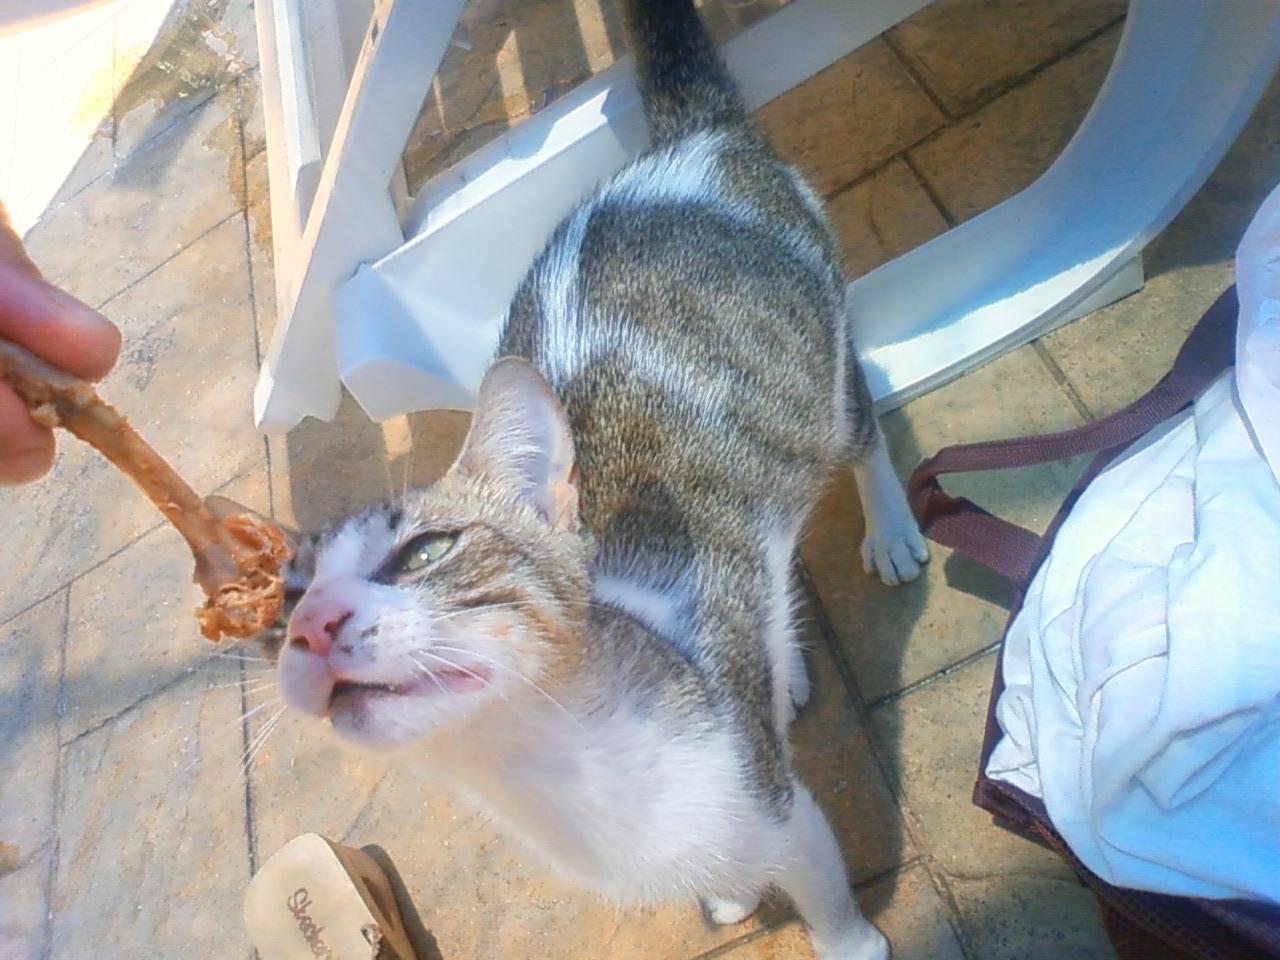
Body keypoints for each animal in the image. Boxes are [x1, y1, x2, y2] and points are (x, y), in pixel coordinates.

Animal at [263, 1, 929, 957]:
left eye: (427, 551)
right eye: (283, 602)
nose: (313, 622)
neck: (557, 777)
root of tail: (691, 143)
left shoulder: (776, 803)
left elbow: (818, 884)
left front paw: (847, 941)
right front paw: (730, 896)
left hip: (820, 361)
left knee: (861, 416)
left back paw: (890, 529)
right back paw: (785, 669)